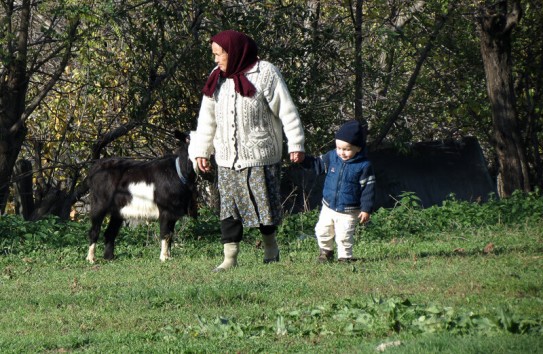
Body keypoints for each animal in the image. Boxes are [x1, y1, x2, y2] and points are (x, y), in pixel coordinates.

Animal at [88, 131, 199, 262]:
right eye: (188, 139)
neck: (178, 172)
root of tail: (97, 166)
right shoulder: (165, 210)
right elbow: (165, 233)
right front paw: (163, 258)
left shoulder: (174, 212)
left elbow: (171, 234)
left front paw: (169, 256)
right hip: (99, 203)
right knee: (94, 230)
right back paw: (91, 258)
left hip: (118, 209)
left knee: (110, 232)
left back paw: (109, 258)